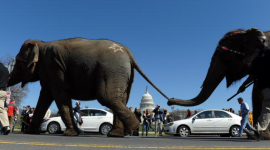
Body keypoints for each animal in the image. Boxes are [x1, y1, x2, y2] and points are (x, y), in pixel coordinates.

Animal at [7, 38, 169, 137]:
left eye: (18, 62)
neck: (42, 44)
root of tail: (129, 53)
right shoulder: (50, 72)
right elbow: (45, 97)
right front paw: (30, 132)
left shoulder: (55, 67)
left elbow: (60, 95)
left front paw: (70, 133)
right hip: (123, 75)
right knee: (120, 99)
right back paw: (117, 134)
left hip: (111, 71)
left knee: (107, 97)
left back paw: (131, 128)